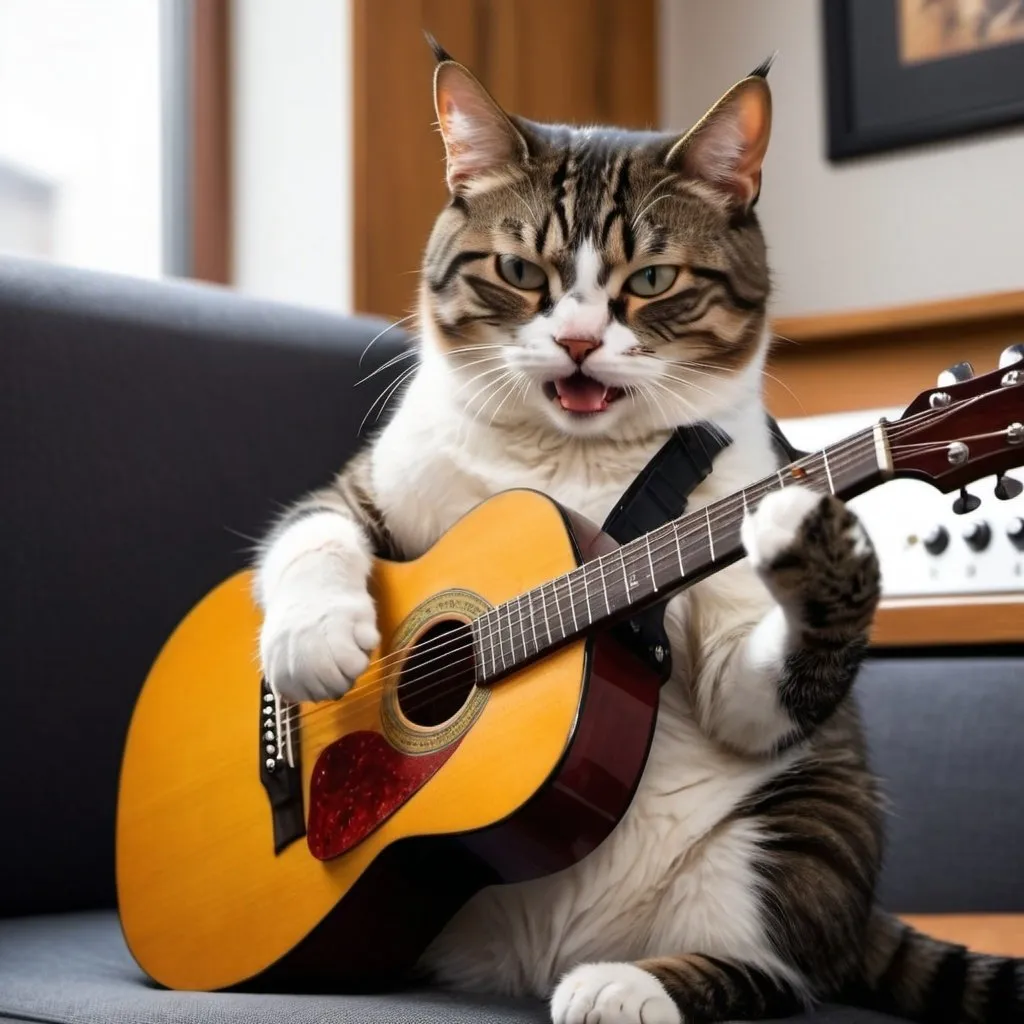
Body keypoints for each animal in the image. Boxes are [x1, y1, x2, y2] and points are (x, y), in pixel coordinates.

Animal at [251, 39, 1019, 1024]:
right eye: (521, 272)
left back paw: (622, 985)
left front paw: (820, 542)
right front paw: (308, 650)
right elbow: (311, 531)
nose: (578, 342)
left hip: (809, 811)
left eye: (651, 281)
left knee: (776, 971)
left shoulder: (740, 657)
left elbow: (748, 692)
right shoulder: (368, 489)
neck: (568, 460)